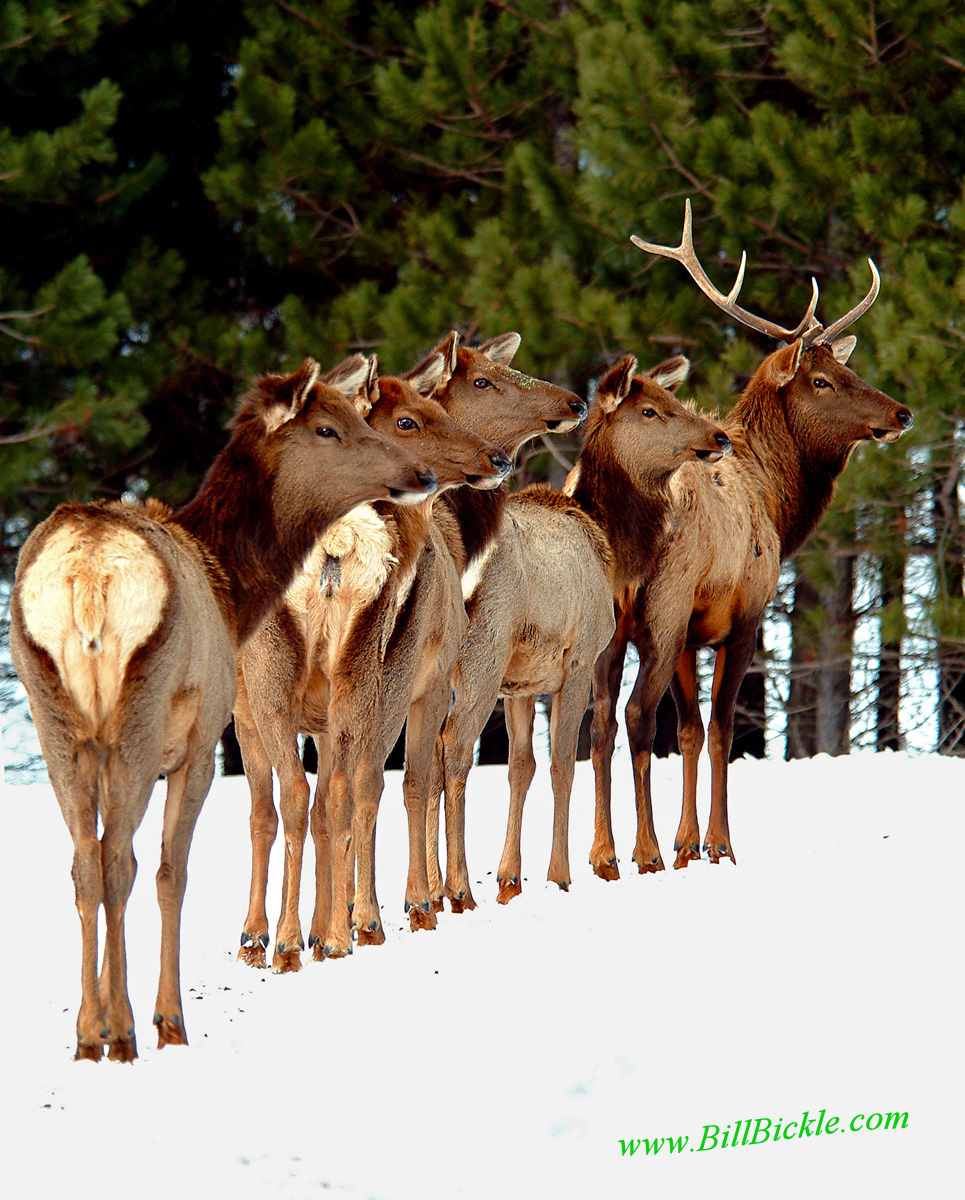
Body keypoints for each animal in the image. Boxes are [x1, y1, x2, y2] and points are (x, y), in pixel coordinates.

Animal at [8, 356, 437, 1060]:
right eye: (327, 427)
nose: (420, 472)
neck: (233, 588)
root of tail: (87, 577)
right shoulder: (201, 741)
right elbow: (171, 872)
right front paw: (167, 1018)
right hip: (141, 714)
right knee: (121, 861)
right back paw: (134, 1028)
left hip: (51, 717)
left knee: (82, 863)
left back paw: (88, 1033)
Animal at [233, 348, 511, 970]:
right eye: (407, 421)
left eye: (440, 409)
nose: (498, 457)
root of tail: (333, 556)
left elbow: (304, 807)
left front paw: (308, 929)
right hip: (319, 684)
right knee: (307, 800)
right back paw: (305, 933)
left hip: (312, 681)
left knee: (307, 798)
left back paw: (301, 935)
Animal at [435, 354, 731, 908]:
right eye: (650, 409)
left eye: (673, 397)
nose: (719, 436)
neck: (611, 548)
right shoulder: (575, 660)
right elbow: (562, 764)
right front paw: (560, 873)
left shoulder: (521, 682)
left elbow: (522, 767)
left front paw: (510, 878)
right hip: (482, 653)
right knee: (454, 747)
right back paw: (456, 889)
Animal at [585, 200, 913, 881]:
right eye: (821, 380)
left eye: (848, 366)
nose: (901, 413)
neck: (778, 503)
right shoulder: (745, 614)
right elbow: (720, 729)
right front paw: (719, 844)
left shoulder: (691, 635)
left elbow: (687, 730)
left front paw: (687, 844)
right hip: (663, 604)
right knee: (635, 712)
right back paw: (641, 852)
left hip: (613, 617)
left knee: (599, 715)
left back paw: (602, 854)